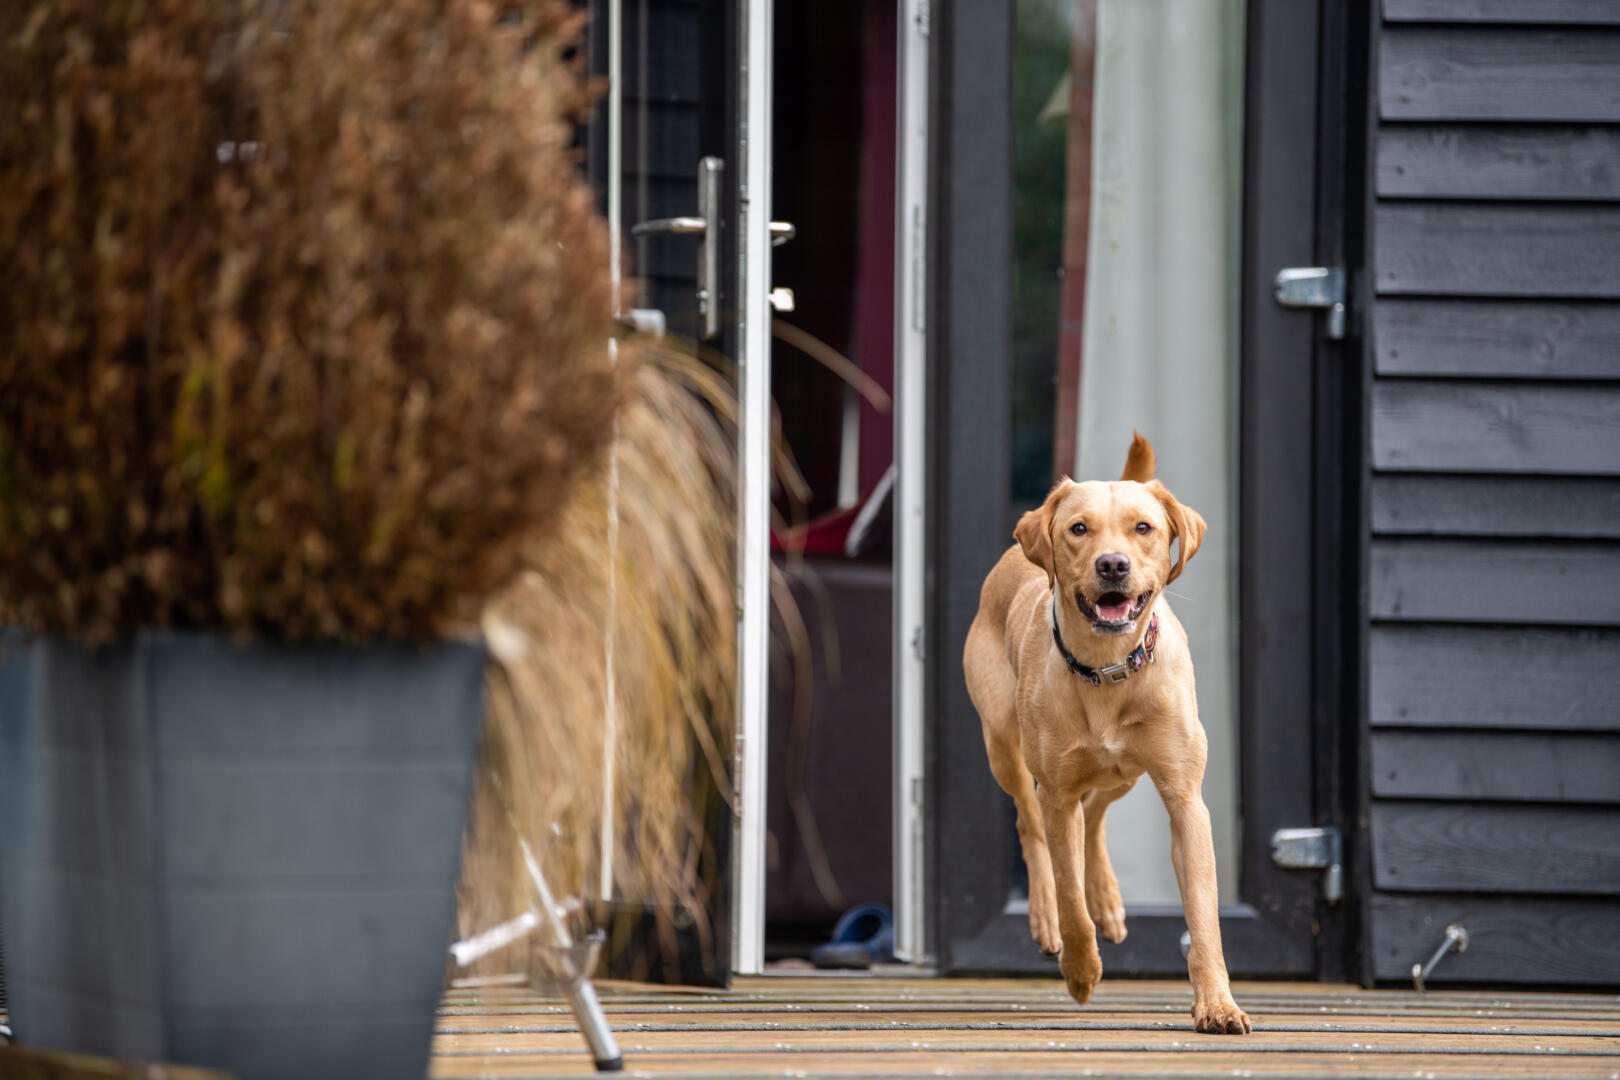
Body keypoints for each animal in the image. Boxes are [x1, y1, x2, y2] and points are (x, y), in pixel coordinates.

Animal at [959, 433, 1250, 1036]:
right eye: (1078, 528)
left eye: (1143, 528)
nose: (1112, 564)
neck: (1108, 668)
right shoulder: (1056, 791)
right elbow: (1070, 895)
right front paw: (1080, 969)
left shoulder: (1186, 799)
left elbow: (1203, 916)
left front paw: (1216, 1003)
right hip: (1005, 747)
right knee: (1033, 825)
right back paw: (1046, 918)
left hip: (1128, 772)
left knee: (1095, 817)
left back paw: (1110, 901)